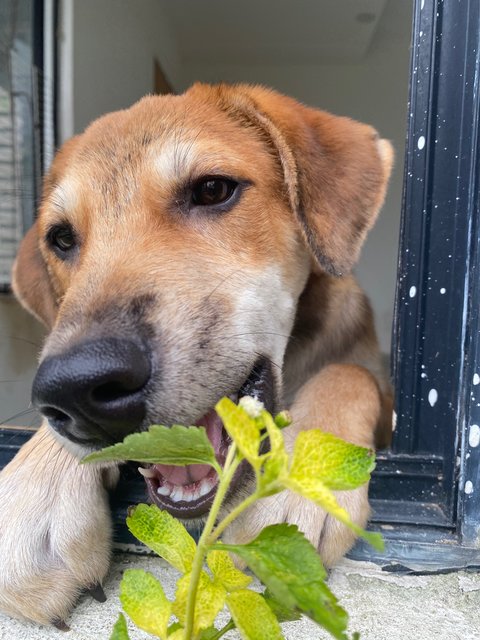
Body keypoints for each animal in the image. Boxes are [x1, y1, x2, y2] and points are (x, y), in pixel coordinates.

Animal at [0, 84, 392, 624]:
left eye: (212, 190)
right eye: (60, 238)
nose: (77, 391)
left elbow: (350, 373)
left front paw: (302, 474)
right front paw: (33, 491)